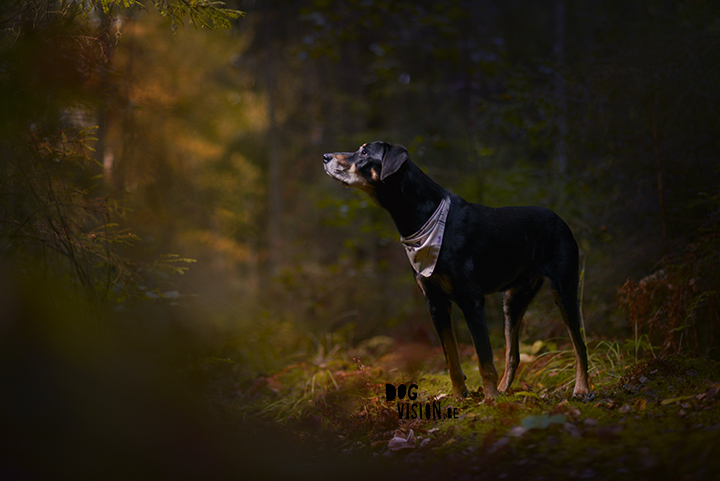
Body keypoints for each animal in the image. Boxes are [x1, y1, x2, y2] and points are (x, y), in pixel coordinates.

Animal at [324, 142, 588, 398]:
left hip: (563, 289)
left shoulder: (472, 300)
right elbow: (451, 358)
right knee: (513, 353)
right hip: (513, 299)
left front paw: (490, 400)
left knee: (579, 345)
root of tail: (561, 220)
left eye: (364, 152)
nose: (325, 157)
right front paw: (461, 396)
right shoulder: (435, 302)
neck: (422, 217)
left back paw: (581, 389)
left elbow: (484, 359)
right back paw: (505, 389)